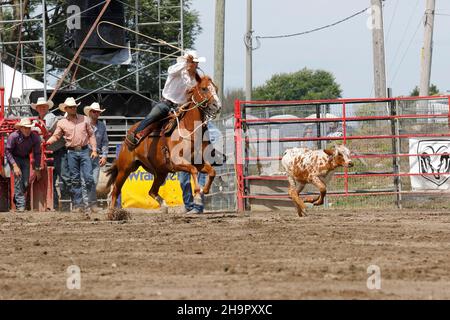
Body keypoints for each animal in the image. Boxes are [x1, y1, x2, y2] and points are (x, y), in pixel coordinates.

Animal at [105, 75, 221, 212]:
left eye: (216, 88)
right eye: (204, 88)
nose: (217, 106)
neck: (189, 129)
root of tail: (125, 139)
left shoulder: (198, 162)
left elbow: (212, 172)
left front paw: (204, 191)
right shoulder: (177, 162)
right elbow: (193, 170)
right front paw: (198, 195)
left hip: (160, 172)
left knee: (152, 191)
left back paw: (164, 205)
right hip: (125, 168)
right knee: (116, 190)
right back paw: (113, 212)